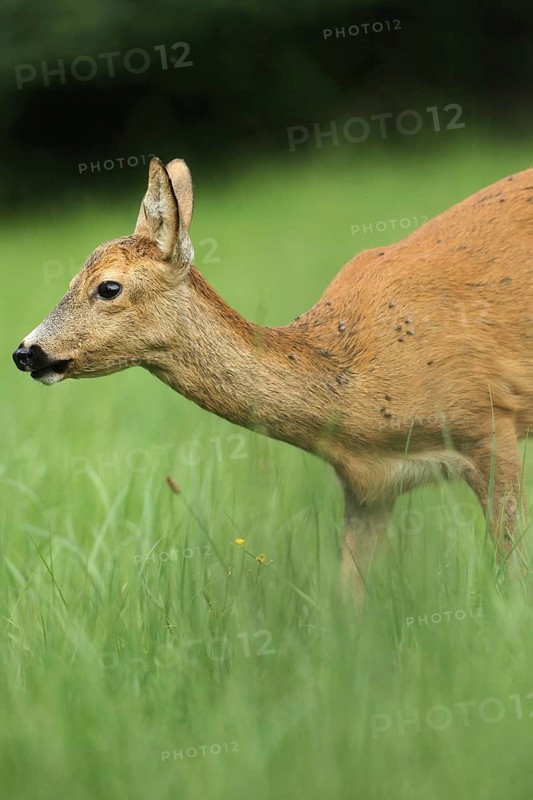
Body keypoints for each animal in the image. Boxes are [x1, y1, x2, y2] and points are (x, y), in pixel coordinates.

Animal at [13, 157, 533, 596]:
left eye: (108, 287)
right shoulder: (368, 486)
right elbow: (348, 598)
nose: (25, 352)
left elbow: (513, 567)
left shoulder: (489, 422)